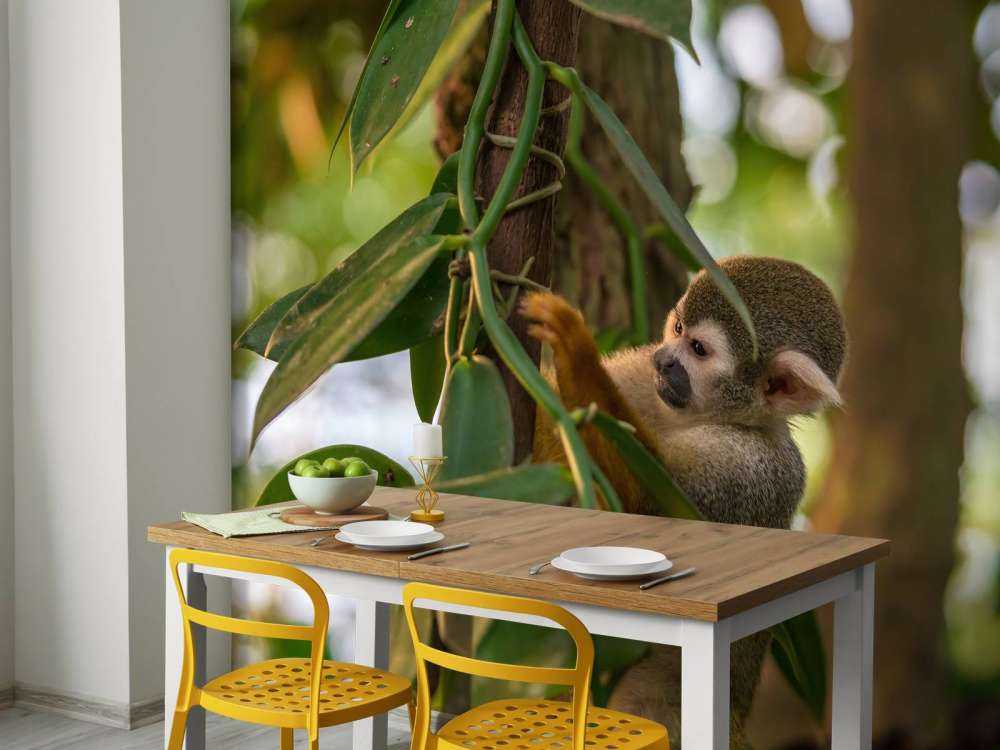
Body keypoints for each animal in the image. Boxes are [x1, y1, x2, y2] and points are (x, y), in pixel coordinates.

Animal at [521, 255, 847, 749]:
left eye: (698, 349)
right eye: (676, 327)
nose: (663, 358)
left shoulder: (757, 467)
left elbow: (646, 509)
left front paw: (575, 351)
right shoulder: (641, 376)